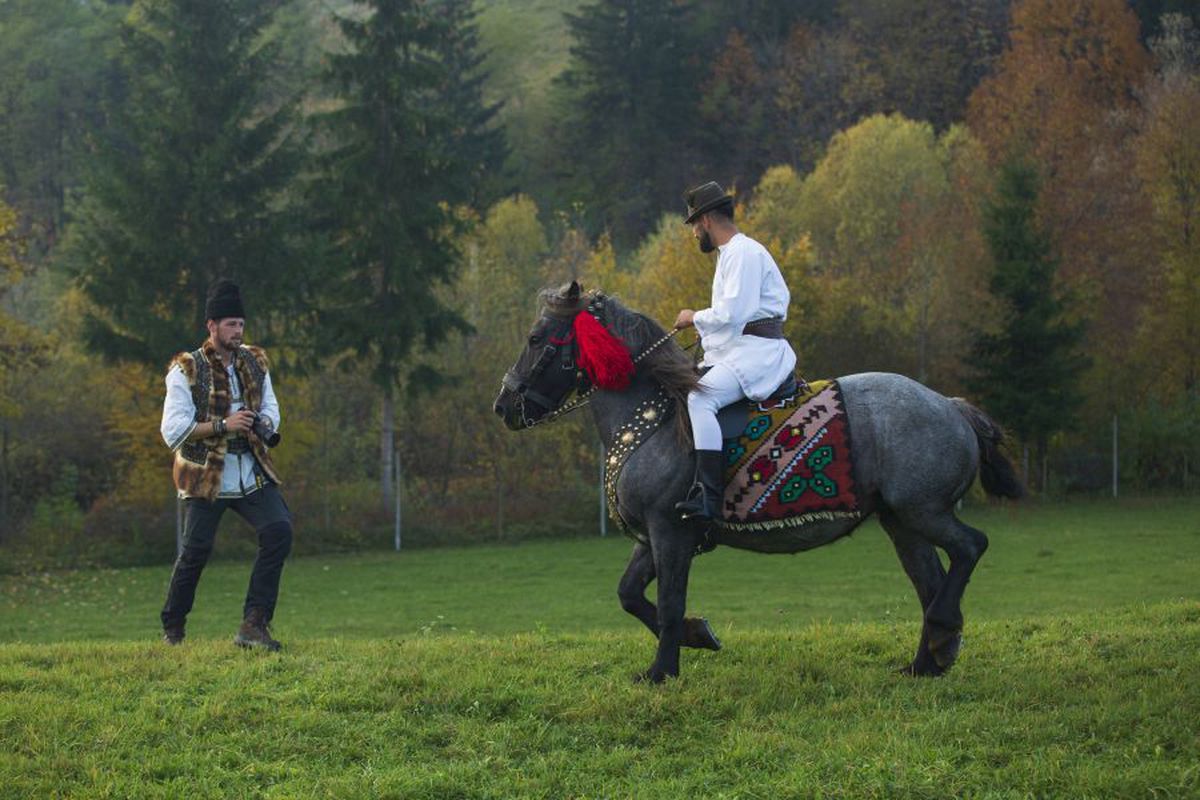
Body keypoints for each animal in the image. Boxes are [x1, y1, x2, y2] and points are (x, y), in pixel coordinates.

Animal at [492, 281, 1017, 681]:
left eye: (536, 337)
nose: (505, 406)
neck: (654, 419)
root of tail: (951, 405)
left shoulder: (670, 532)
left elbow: (668, 602)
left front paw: (663, 670)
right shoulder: (655, 537)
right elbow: (630, 595)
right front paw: (697, 636)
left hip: (922, 511)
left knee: (970, 548)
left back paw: (944, 634)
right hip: (902, 522)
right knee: (930, 581)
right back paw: (929, 659)